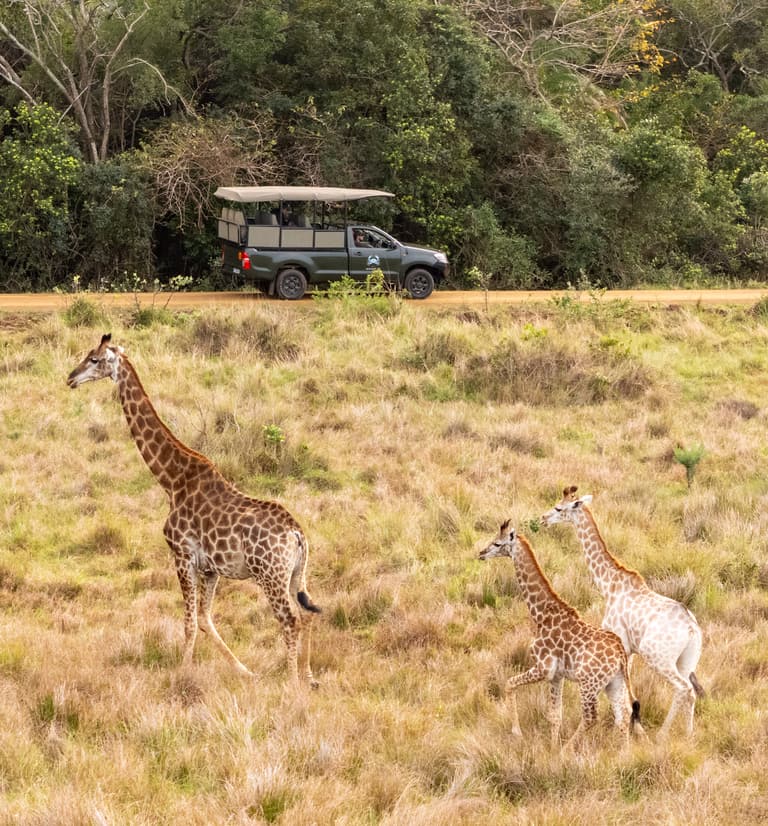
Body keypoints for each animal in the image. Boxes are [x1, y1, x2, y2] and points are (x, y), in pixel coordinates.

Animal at [67, 334, 321, 686]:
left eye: (93, 359)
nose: (70, 378)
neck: (171, 479)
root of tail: (297, 534)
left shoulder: (182, 555)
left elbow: (188, 622)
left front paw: (182, 674)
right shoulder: (211, 568)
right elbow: (204, 618)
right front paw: (245, 671)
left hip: (270, 575)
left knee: (290, 620)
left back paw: (291, 682)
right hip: (298, 572)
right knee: (307, 614)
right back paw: (308, 677)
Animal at [479, 521, 641, 746]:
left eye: (497, 543)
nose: (481, 553)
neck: (541, 615)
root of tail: (620, 655)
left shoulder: (543, 668)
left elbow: (510, 683)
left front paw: (518, 732)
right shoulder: (557, 676)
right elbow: (555, 715)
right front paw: (552, 747)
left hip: (589, 684)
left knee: (591, 717)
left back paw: (568, 749)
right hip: (613, 683)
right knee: (623, 715)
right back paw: (623, 752)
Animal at [541, 486, 704, 737]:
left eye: (559, 508)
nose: (543, 518)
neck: (608, 585)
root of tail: (692, 630)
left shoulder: (623, 644)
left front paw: (629, 726)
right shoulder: (628, 649)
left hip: (658, 656)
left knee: (683, 689)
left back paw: (662, 735)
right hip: (687, 660)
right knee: (690, 692)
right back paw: (688, 735)